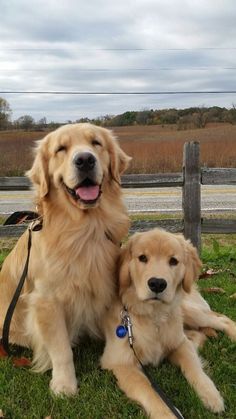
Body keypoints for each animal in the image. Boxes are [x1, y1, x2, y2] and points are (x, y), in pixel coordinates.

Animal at [0, 122, 131, 398]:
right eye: (61, 148)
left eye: (96, 143)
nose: (85, 160)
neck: (83, 229)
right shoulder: (47, 301)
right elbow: (61, 350)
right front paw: (64, 384)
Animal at [100, 230, 225, 419]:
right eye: (142, 258)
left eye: (173, 261)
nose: (157, 284)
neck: (154, 316)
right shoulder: (120, 362)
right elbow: (148, 389)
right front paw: (167, 414)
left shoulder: (179, 342)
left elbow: (194, 367)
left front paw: (211, 395)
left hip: (188, 310)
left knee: (223, 319)